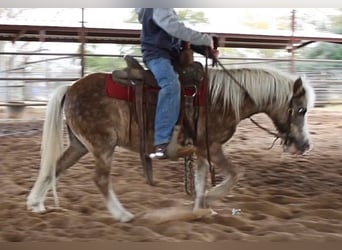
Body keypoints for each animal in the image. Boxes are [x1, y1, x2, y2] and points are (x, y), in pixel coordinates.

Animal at [26, 65, 316, 222]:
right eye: (301, 110)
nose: (304, 146)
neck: (223, 98)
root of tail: (70, 88)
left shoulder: (200, 150)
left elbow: (199, 180)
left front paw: (200, 209)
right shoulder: (212, 146)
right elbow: (235, 174)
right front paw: (211, 200)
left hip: (80, 145)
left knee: (55, 167)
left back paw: (36, 204)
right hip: (102, 145)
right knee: (100, 179)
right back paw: (123, 215)